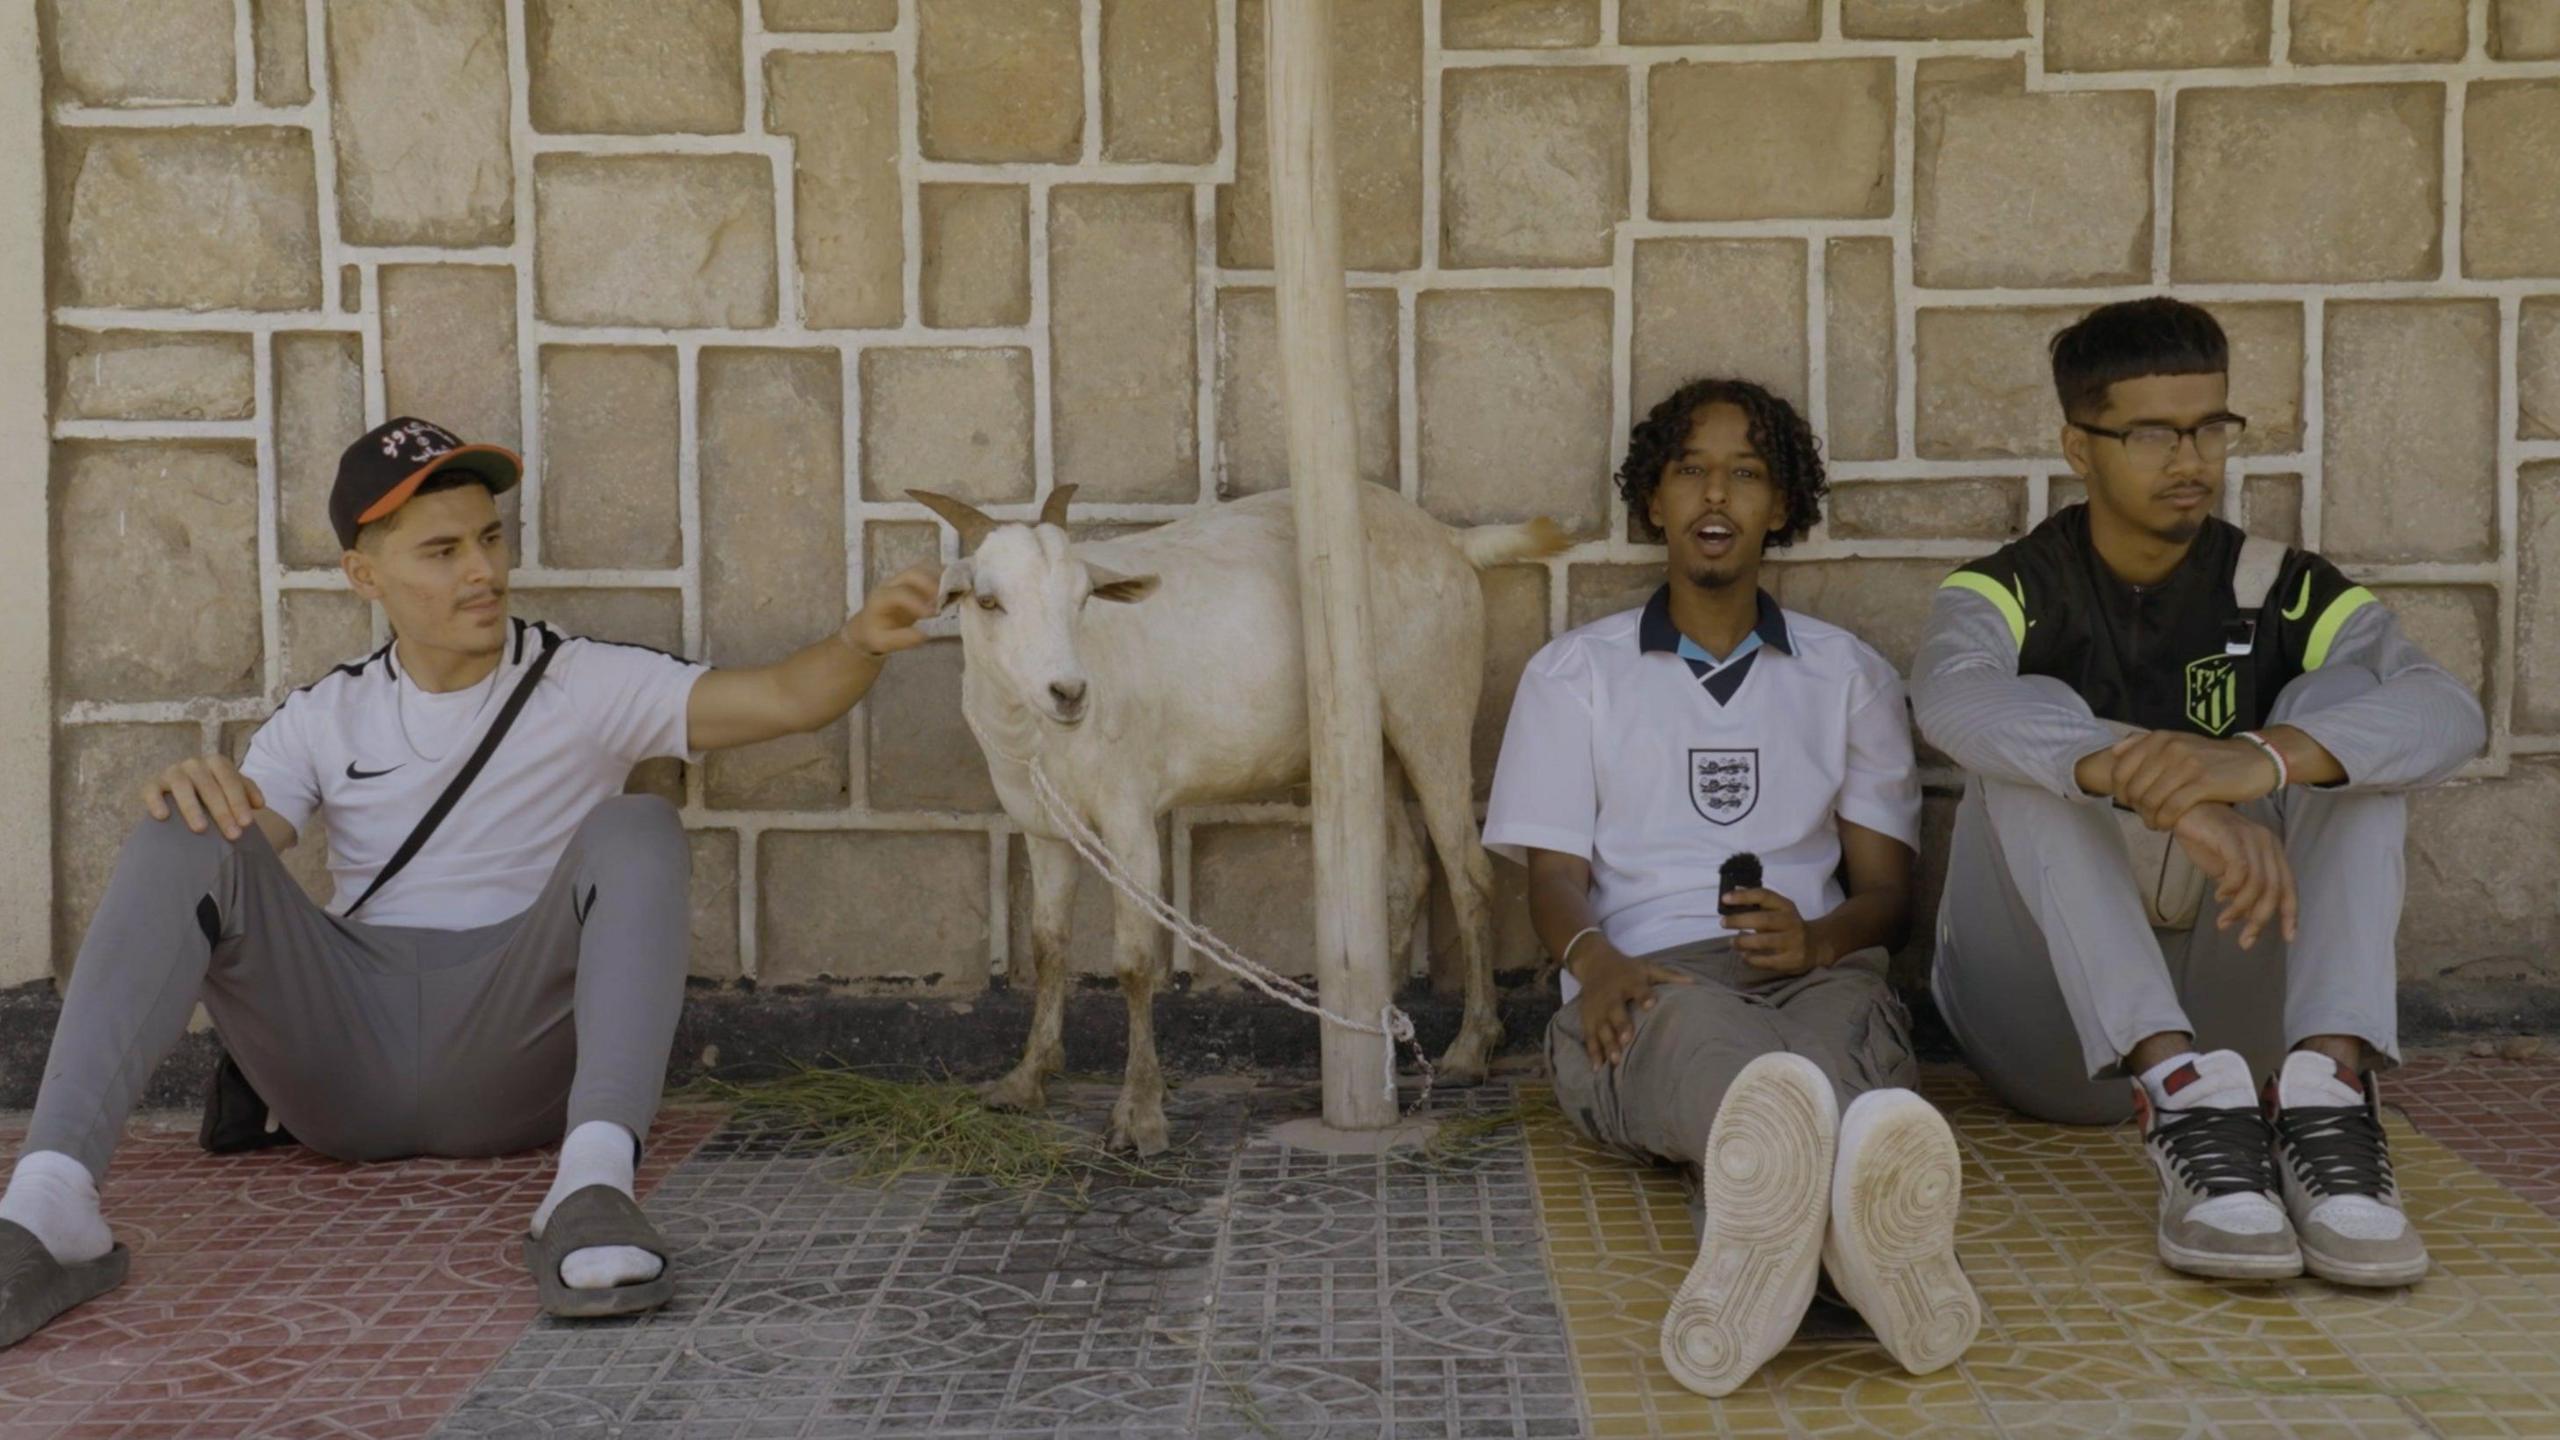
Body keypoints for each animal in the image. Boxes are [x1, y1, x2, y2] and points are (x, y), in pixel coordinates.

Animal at [911, 481, 1566, 1153]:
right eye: (988, 601)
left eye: (1083, 596)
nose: (1068, 693)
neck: (1033, 734)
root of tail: (1448, 538)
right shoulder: (1042, 827)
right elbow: (1048, 947)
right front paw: (1025, 1079)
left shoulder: (1128, 814)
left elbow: (1134, 963)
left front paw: (1139, 1114)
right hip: (1369, 743)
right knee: (1405, 875)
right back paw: (1368, 1033)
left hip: (1432, 705)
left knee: (1469, 873)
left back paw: (1470, 1047)